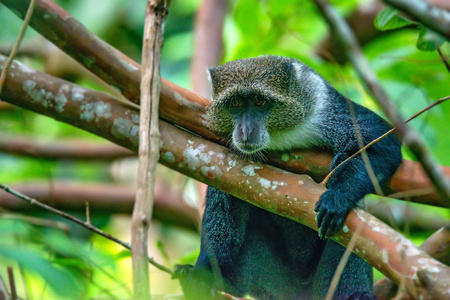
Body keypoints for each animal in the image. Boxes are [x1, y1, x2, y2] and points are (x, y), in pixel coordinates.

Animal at [174, 56, 402, 300]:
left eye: (259, 101)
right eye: (235, 104)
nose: (245, 130)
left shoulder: (324, 104)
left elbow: (378, 139)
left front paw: (338, 196)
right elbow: (222, 196)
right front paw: (203, 274)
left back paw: (355, 295)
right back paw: (224, 282)